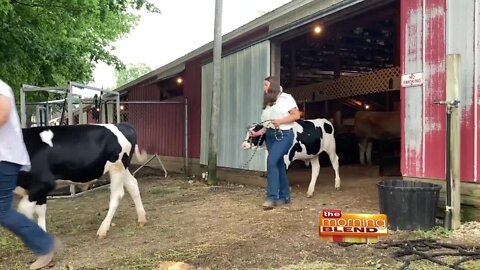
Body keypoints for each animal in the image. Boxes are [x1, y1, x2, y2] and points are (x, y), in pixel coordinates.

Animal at [14, 122, 148, 238]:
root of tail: (122, 124)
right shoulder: (36, 189)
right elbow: (40, 211)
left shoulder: (43, 183)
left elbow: (23, 211)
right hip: (122, 168)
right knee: (132, 184)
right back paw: (142, 218)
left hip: (117, 167)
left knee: (117, 195)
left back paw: (103, 229)